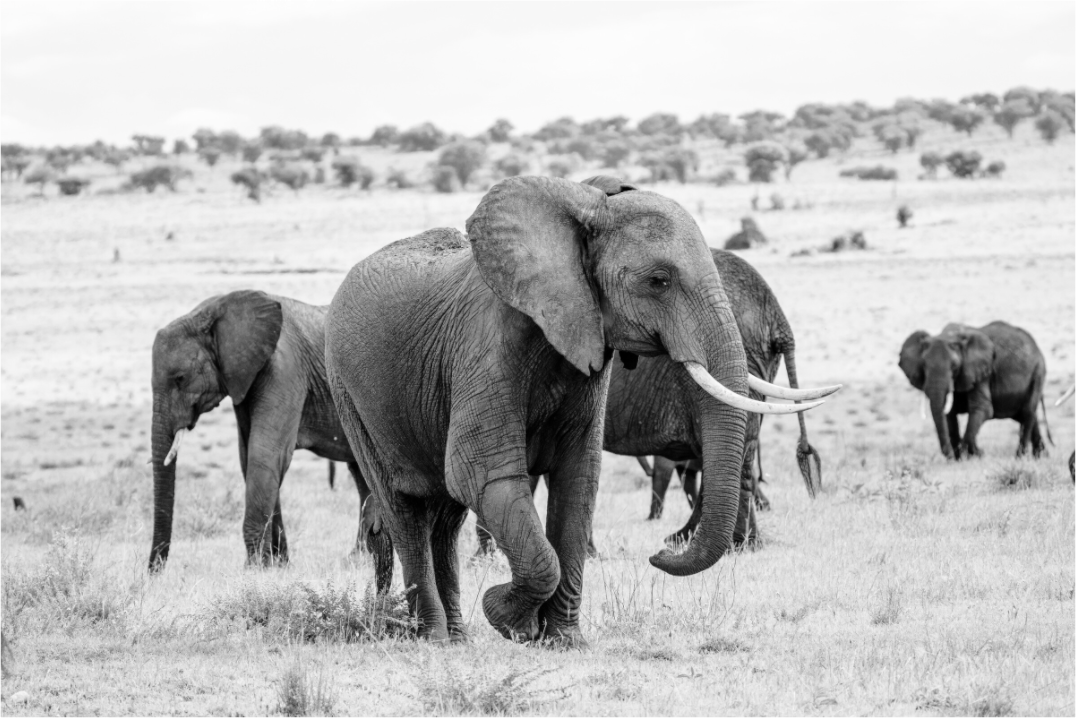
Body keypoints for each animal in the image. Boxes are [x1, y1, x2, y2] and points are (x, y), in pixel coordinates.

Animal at [149, 289, 390, 584]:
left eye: (180, 378)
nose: (152, 575)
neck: (212, 309)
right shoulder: (243, 380)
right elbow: (250, 459)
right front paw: (278, 565)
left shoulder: (284, 369)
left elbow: (266, 455)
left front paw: (255, 570)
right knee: (363, 475)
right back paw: (359, 559)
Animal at [325, 175, 828, 645]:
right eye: (658, 281)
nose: (657, 554)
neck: (584, 210)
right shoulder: (484, 348)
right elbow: (483, 474)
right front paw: (509, 618)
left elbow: (577, 480)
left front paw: (562, 640)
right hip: (350, 395)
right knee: (405, 509)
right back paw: (434, 638)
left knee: (445, 518)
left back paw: (459, 635)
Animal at [898, 321, 1049, 460]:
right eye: (923, 366)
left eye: (954, 367)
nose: (950, 457)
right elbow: (948, 414)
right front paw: (961, 457)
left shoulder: (981, 371)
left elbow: (982, 408)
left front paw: (975, 454)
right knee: (1026, 415)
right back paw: (1040, 456)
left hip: (1038, 372)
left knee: (1028, 412)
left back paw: (1020, 457)